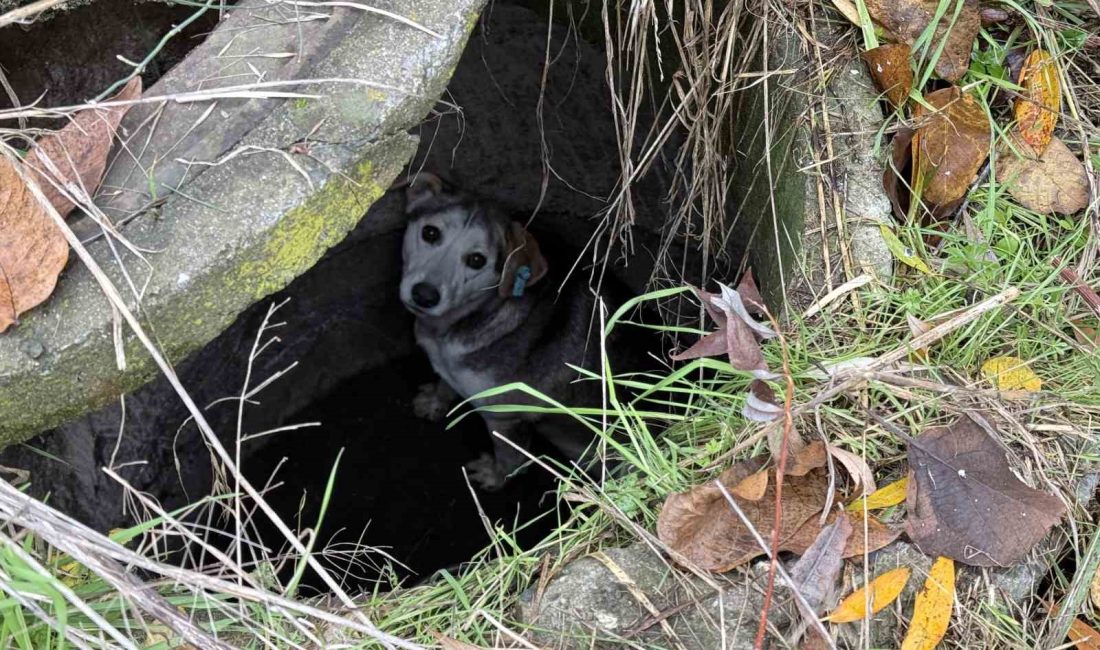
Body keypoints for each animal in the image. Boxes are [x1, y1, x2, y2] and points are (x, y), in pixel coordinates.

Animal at [400, 171, 642, 488]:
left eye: (476, 260)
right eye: (430, 233)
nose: (425, 295)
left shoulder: (504, 417)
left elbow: (511, 458)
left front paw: (495, 477)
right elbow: (445, 382)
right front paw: (435, 401)